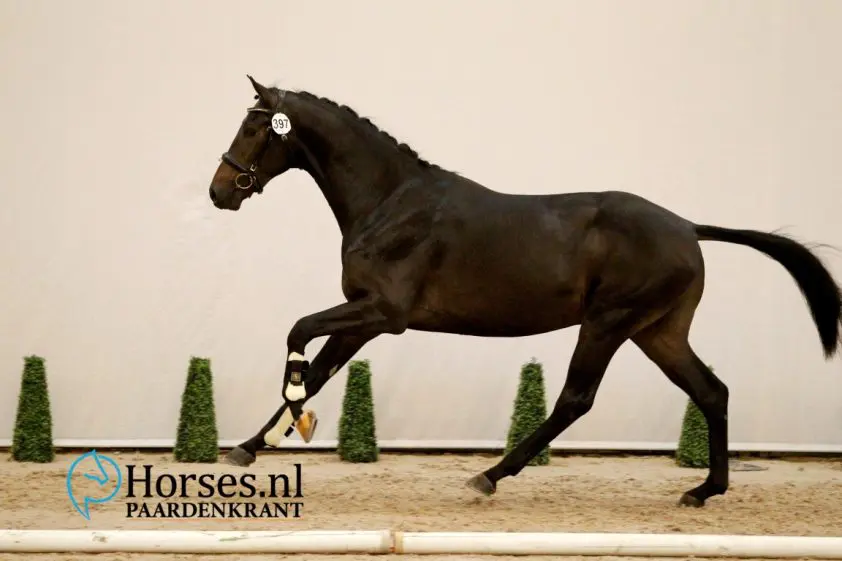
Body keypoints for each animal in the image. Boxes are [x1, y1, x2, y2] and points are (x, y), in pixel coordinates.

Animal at [207, 75, 841, 508]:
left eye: (255, 127)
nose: (220, 190)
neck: (390, 201)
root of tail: (686, 227)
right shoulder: (363, 318)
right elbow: (317, 370)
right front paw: (253, 444)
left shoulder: (383, 312)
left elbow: (298, 334)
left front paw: (293, 422)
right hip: (657, 331)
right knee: (712, 391)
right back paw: (705, 490)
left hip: (609, 322)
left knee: (576, 399)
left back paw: (489, 475)